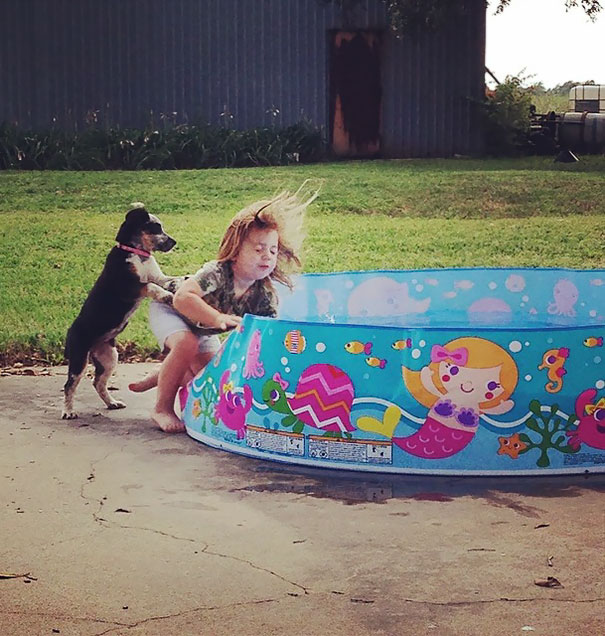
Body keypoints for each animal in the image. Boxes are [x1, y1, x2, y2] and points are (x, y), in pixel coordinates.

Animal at [62, 206, 178, 420]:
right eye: (155, 227)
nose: (174, 242)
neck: (137, 253)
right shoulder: (129, 286)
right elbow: (150, 286)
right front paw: (166, 295)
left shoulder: (158, 276)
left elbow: (167, 280)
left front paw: (179, 283)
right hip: (79, 358)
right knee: (69, 386)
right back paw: (68, 411)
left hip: (109, 357)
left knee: (98, 383)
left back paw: (112, 403)